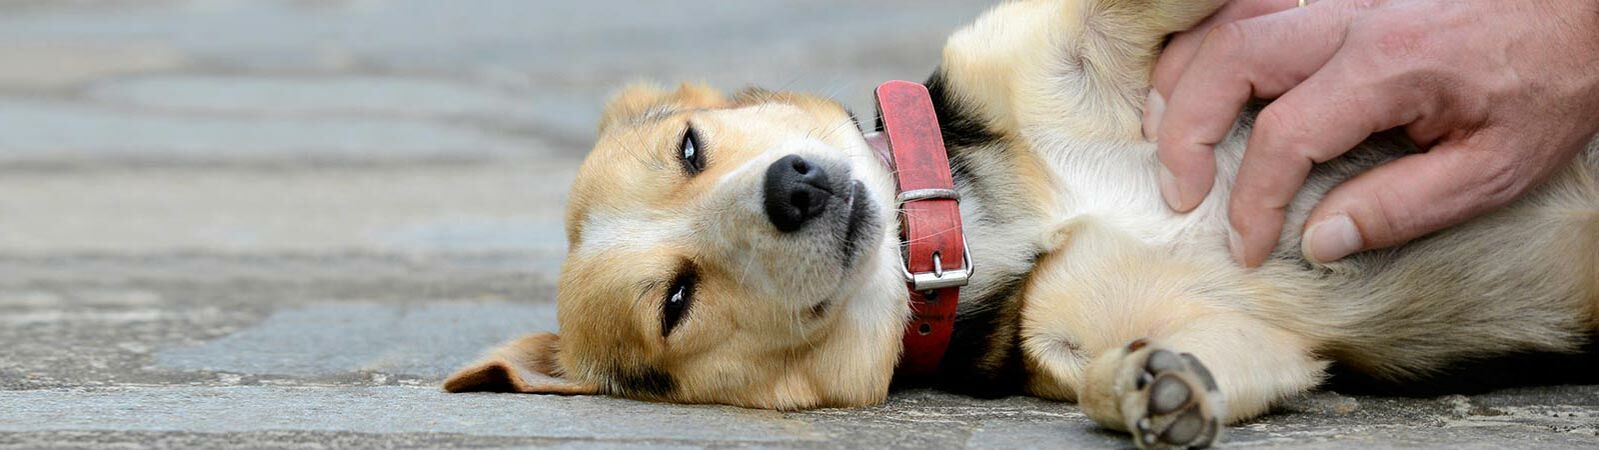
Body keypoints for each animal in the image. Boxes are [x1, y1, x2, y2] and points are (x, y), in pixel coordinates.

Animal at [444, 1, 1599, 445]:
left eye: (690, 146)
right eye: (677, 300)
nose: (797, 188)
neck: (985, 224)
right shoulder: (1189, 332)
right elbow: (1144, 368)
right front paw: (1154, 388)